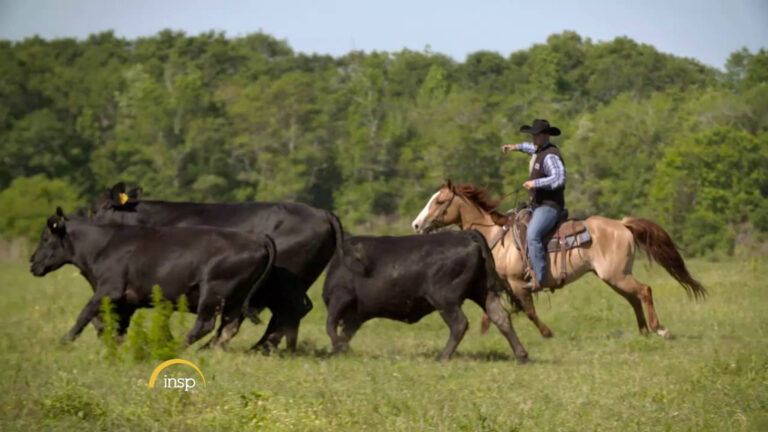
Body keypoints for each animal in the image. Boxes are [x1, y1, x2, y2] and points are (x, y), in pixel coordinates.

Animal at [30, 207, 276, 348]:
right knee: (227, 328)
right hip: (234, 299)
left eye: (45, 238)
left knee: (205, 325)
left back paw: (176, 348)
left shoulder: (108, 289)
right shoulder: (125, 301)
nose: (32, 262)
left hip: (213, 292)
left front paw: (64, 341)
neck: (104, 244)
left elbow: (85, 314)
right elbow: (111, 324)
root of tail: (256, 238)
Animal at [322, 230, 528, 362]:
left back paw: (442, 356)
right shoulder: (354, 315)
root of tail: (465, 234)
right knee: (501, 318)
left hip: (445, 300)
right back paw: (522, 356)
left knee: (459, 324)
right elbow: (345, 331)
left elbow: (331, 324)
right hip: (484, 292)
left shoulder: (340, 297)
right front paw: (341, 349)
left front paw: (337, 348)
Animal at [412, 181, 704, 340]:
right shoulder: (502, 285)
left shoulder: (517, 282)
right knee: (634, 298)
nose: (416, 224)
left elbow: (529, 311)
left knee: (644, 291)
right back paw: (643, 330)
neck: (497, 236)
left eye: (439, 201)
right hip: (614, 277)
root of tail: (622, 224)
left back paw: (659, 329)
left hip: (617, 275)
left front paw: (547, 333)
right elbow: (494, 311)